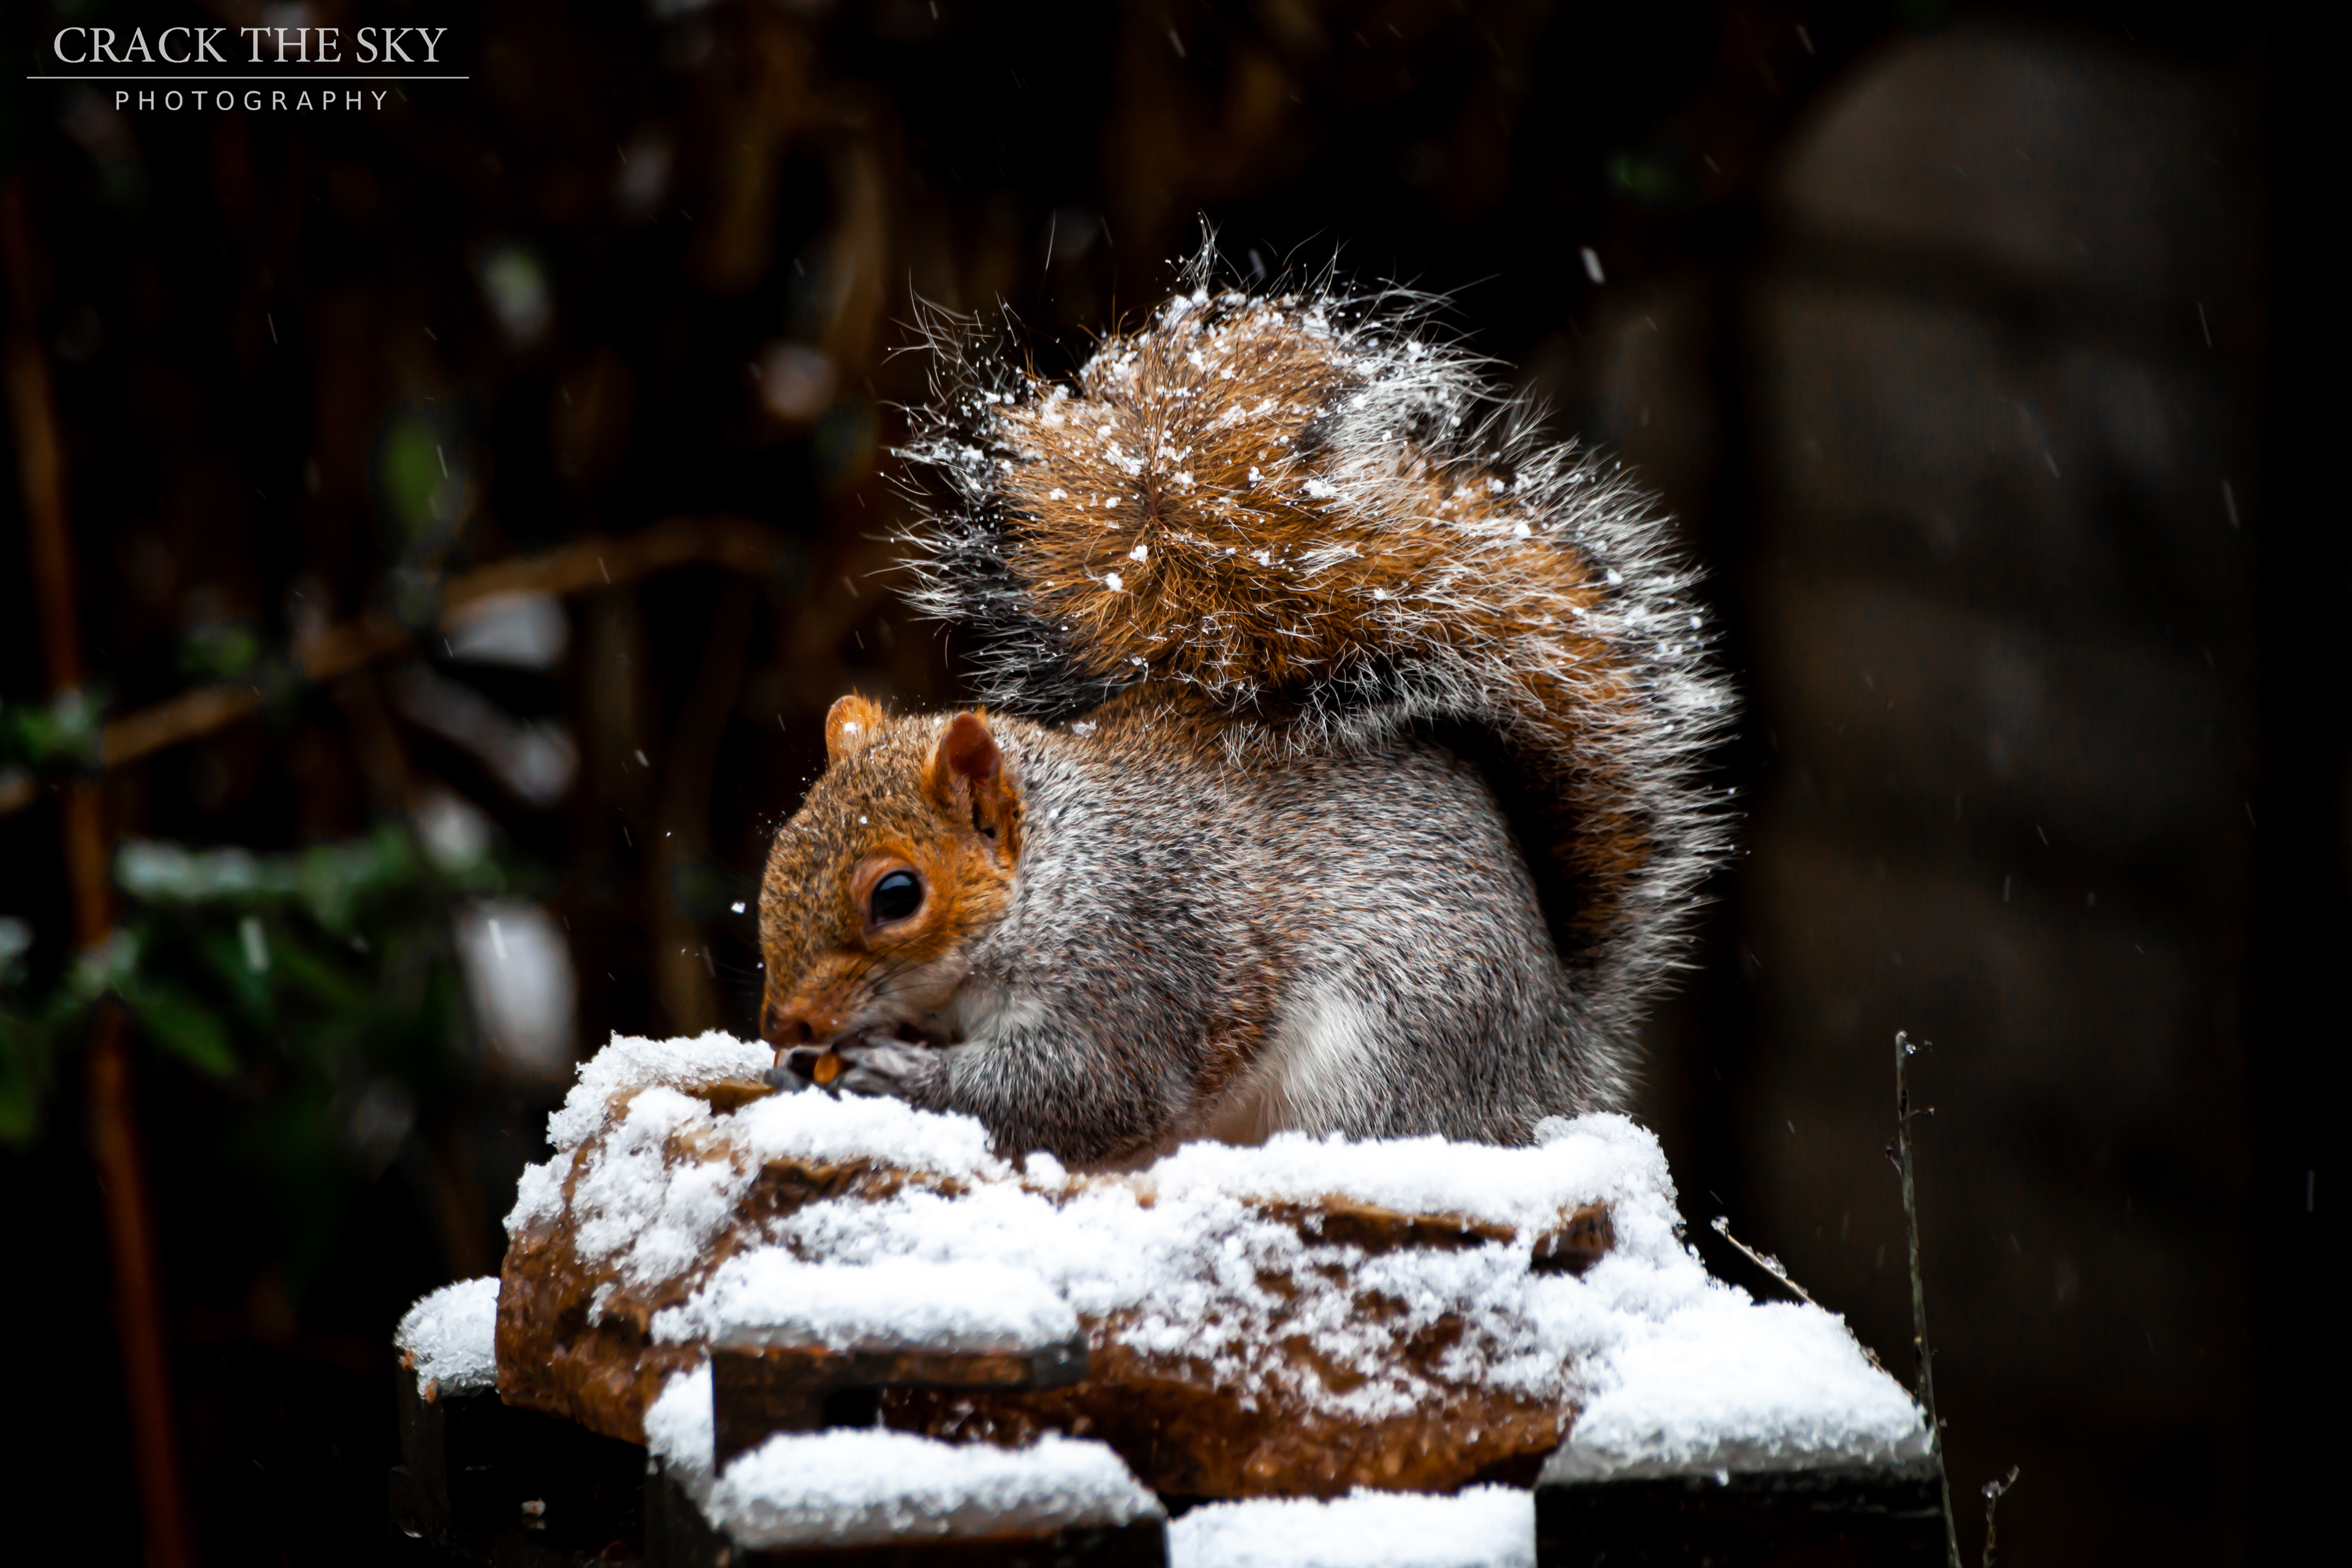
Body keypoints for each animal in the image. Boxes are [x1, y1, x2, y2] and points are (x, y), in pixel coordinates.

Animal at [755, 266, 1730, 1168]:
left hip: (1387, 1057)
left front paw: (897, 1075)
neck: (1053, 878)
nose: (784, 1025)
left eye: (897, 895)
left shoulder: (1140, 961)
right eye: (778, 855)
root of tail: (1555, 1058)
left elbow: (1088, 1092)